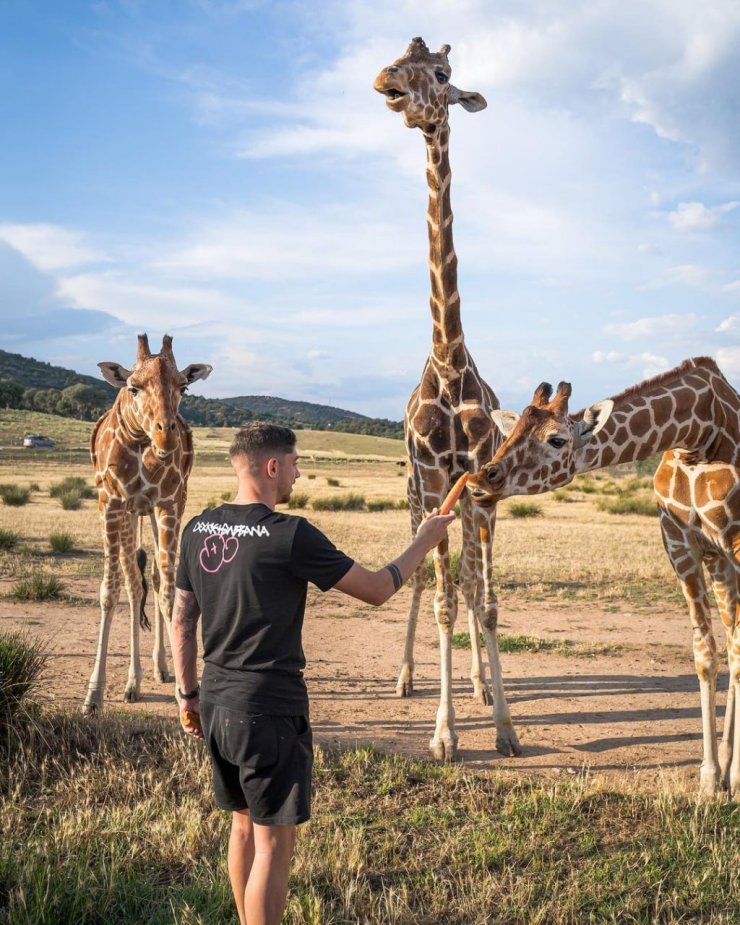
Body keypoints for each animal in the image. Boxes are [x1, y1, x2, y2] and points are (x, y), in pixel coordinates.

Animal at [82, 334, 212, 716]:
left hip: (151, 511)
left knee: (151, 580)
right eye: (134, 387)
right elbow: (110, 592)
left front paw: (184, 693)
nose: (166, 437)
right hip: (129, 513)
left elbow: (169, 593)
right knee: (132, 584)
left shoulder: (169, 503)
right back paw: (132, 683)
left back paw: (159, 669)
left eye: (183, 387)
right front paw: (94, 695)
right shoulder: (110, 502)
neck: (139, 442)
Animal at [468, 358, 740, 796]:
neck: (699, 436)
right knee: (731, 645)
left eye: (557, 439)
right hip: (718, 562)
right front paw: (711, 777)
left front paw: (729, 778)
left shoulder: (735, 542)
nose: (479, 482)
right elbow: (705, 653)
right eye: (510, 432)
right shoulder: (681, 543)